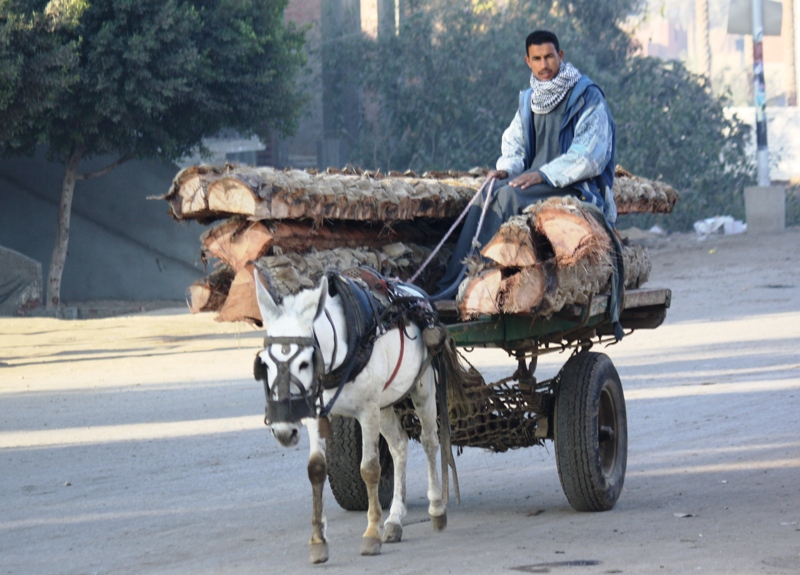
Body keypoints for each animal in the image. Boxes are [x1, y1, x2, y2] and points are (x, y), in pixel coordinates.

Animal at [253, 270, 446, 564]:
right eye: (263, 363)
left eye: (305, 363)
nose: (284, 431)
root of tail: (416, 293)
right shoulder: (316, 413)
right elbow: (316, 470)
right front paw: (318, 541)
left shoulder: (367, 411)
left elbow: (370, 469)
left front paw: (371, 535)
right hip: (384, 404)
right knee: (399, 446)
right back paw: (395, 519)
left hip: (421, 388)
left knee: (429, 441)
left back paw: (436, 508)